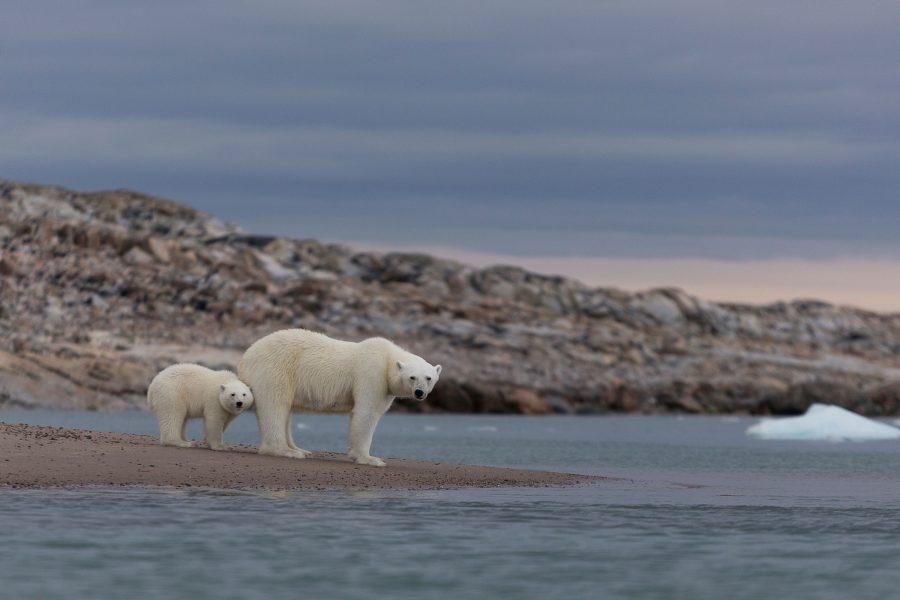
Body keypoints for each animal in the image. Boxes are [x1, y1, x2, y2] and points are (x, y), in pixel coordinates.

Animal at [236, 330, 440, 466]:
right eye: (412, 377)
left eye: (428, 378)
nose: (419, 392)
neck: (388, 358)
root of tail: (245, 356)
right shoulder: (372, 373)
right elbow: (366, 413)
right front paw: (370, 459)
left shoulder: (386, 388)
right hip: (274, 369)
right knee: (275, 406)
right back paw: (286, 451)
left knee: (285, 410)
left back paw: (299, 449)